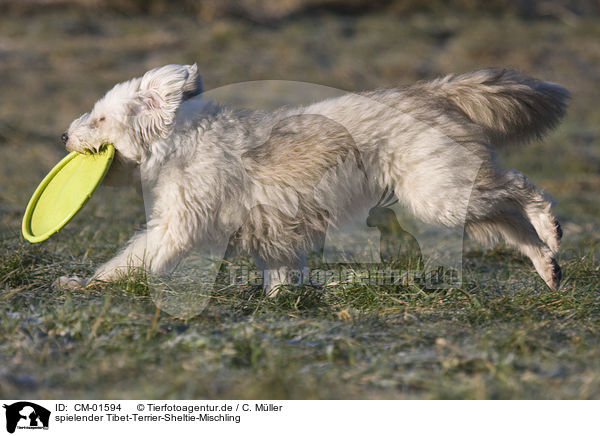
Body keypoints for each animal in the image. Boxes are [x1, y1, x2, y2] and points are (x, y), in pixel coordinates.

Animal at [63, 63, 568, 292]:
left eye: (102, 118)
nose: (64, 134)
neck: (180, 141)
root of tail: (429, 92)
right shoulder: (273, 236)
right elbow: (282, 274)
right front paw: (281, 301)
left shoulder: (177, 227)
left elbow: (134, 258)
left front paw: (88, 285)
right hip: (454, 195)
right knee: (512, 222)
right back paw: (548, 267)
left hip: (438, 192)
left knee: (522, 187)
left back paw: (552, 229)